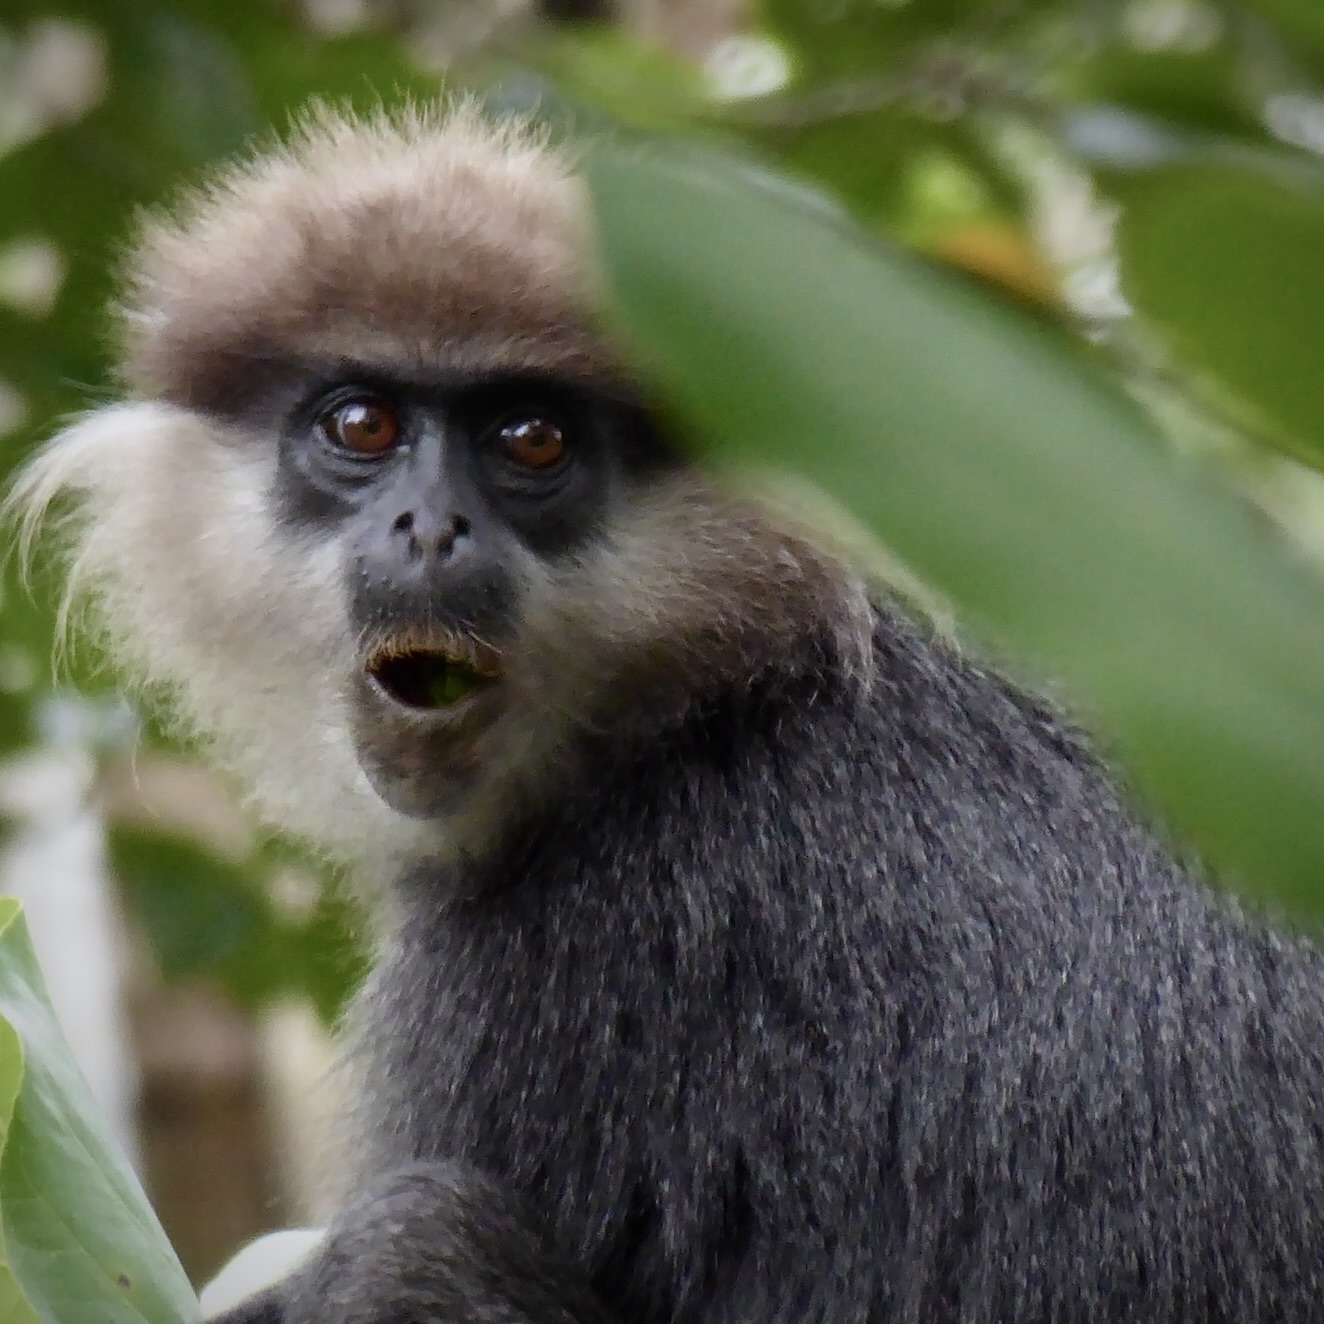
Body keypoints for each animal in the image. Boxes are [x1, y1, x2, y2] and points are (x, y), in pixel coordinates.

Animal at [9, 102, 1324, 1323]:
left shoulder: (558, 967)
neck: (701, 708)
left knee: (416, 1237)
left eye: (531, 439)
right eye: (361, 425)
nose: (430, 529)